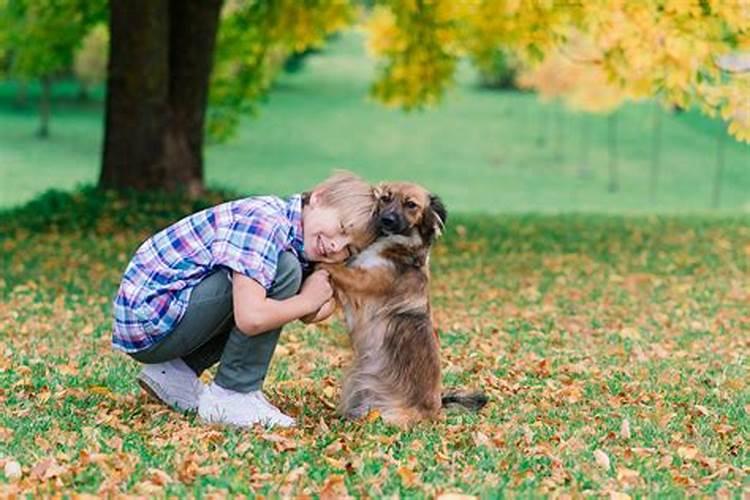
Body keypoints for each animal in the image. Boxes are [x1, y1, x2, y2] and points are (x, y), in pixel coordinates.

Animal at [322, 181, 488, 426]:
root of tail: (437, 410)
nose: (386, 220)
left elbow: (334, 268)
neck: (397, 246)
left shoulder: (362, 282)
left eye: (411, 205)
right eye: (385, 198)